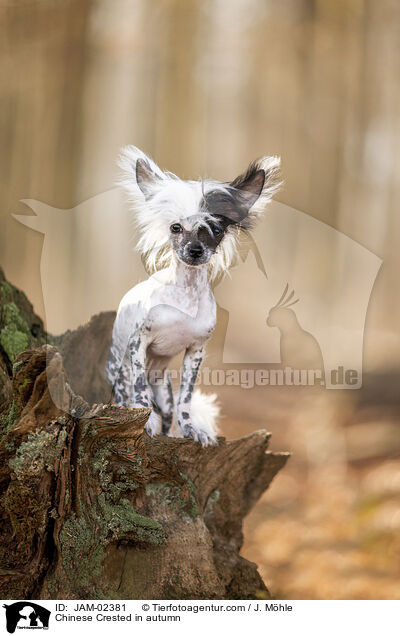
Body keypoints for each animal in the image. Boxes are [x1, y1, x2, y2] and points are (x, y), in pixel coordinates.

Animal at [106, 147, 282, 444]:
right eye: (175, 227)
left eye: (217, 230)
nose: (195, 250)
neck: (185, 296)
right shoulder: (137, 344)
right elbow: (141, 394)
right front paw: (146, 421)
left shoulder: (196, 352)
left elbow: (185, 400)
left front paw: (192, 430)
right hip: (121, 375)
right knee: (129, 396)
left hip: (163, 391)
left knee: (168, 413)